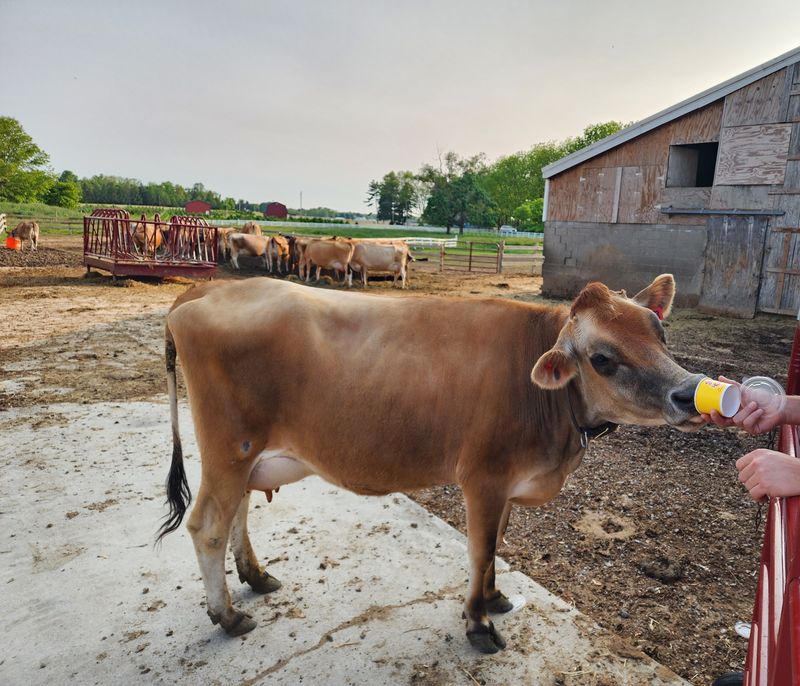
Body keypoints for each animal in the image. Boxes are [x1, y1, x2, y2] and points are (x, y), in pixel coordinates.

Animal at [158, 274, 704, 653]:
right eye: (602, 358)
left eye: (660, 332)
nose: (689, 392)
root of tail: (206, 291)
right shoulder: (483, 478)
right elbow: (481, 550)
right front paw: (478, 624)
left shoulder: (506, 485)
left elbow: (498, 544)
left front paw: (495, 597)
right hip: (230, 446)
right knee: (208, 524)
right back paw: (228, 616)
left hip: (247, 455)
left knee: (238, 511)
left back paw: (255, 576)